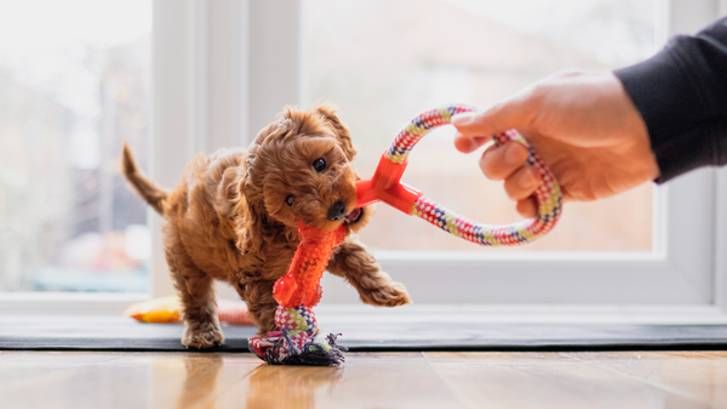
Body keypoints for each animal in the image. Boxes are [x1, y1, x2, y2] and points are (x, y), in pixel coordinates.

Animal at [122, 105, 412, 348]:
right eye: (290, 200)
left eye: (319, 163)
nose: (336, 209)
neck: (288, 230)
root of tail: (173, 197)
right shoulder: (254, 274)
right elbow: (269, 305)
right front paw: (289, 338)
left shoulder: (332, 240)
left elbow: (358, 259)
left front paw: (386, 291)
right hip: (184, 256)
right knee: (195, 296)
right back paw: (202, 333)